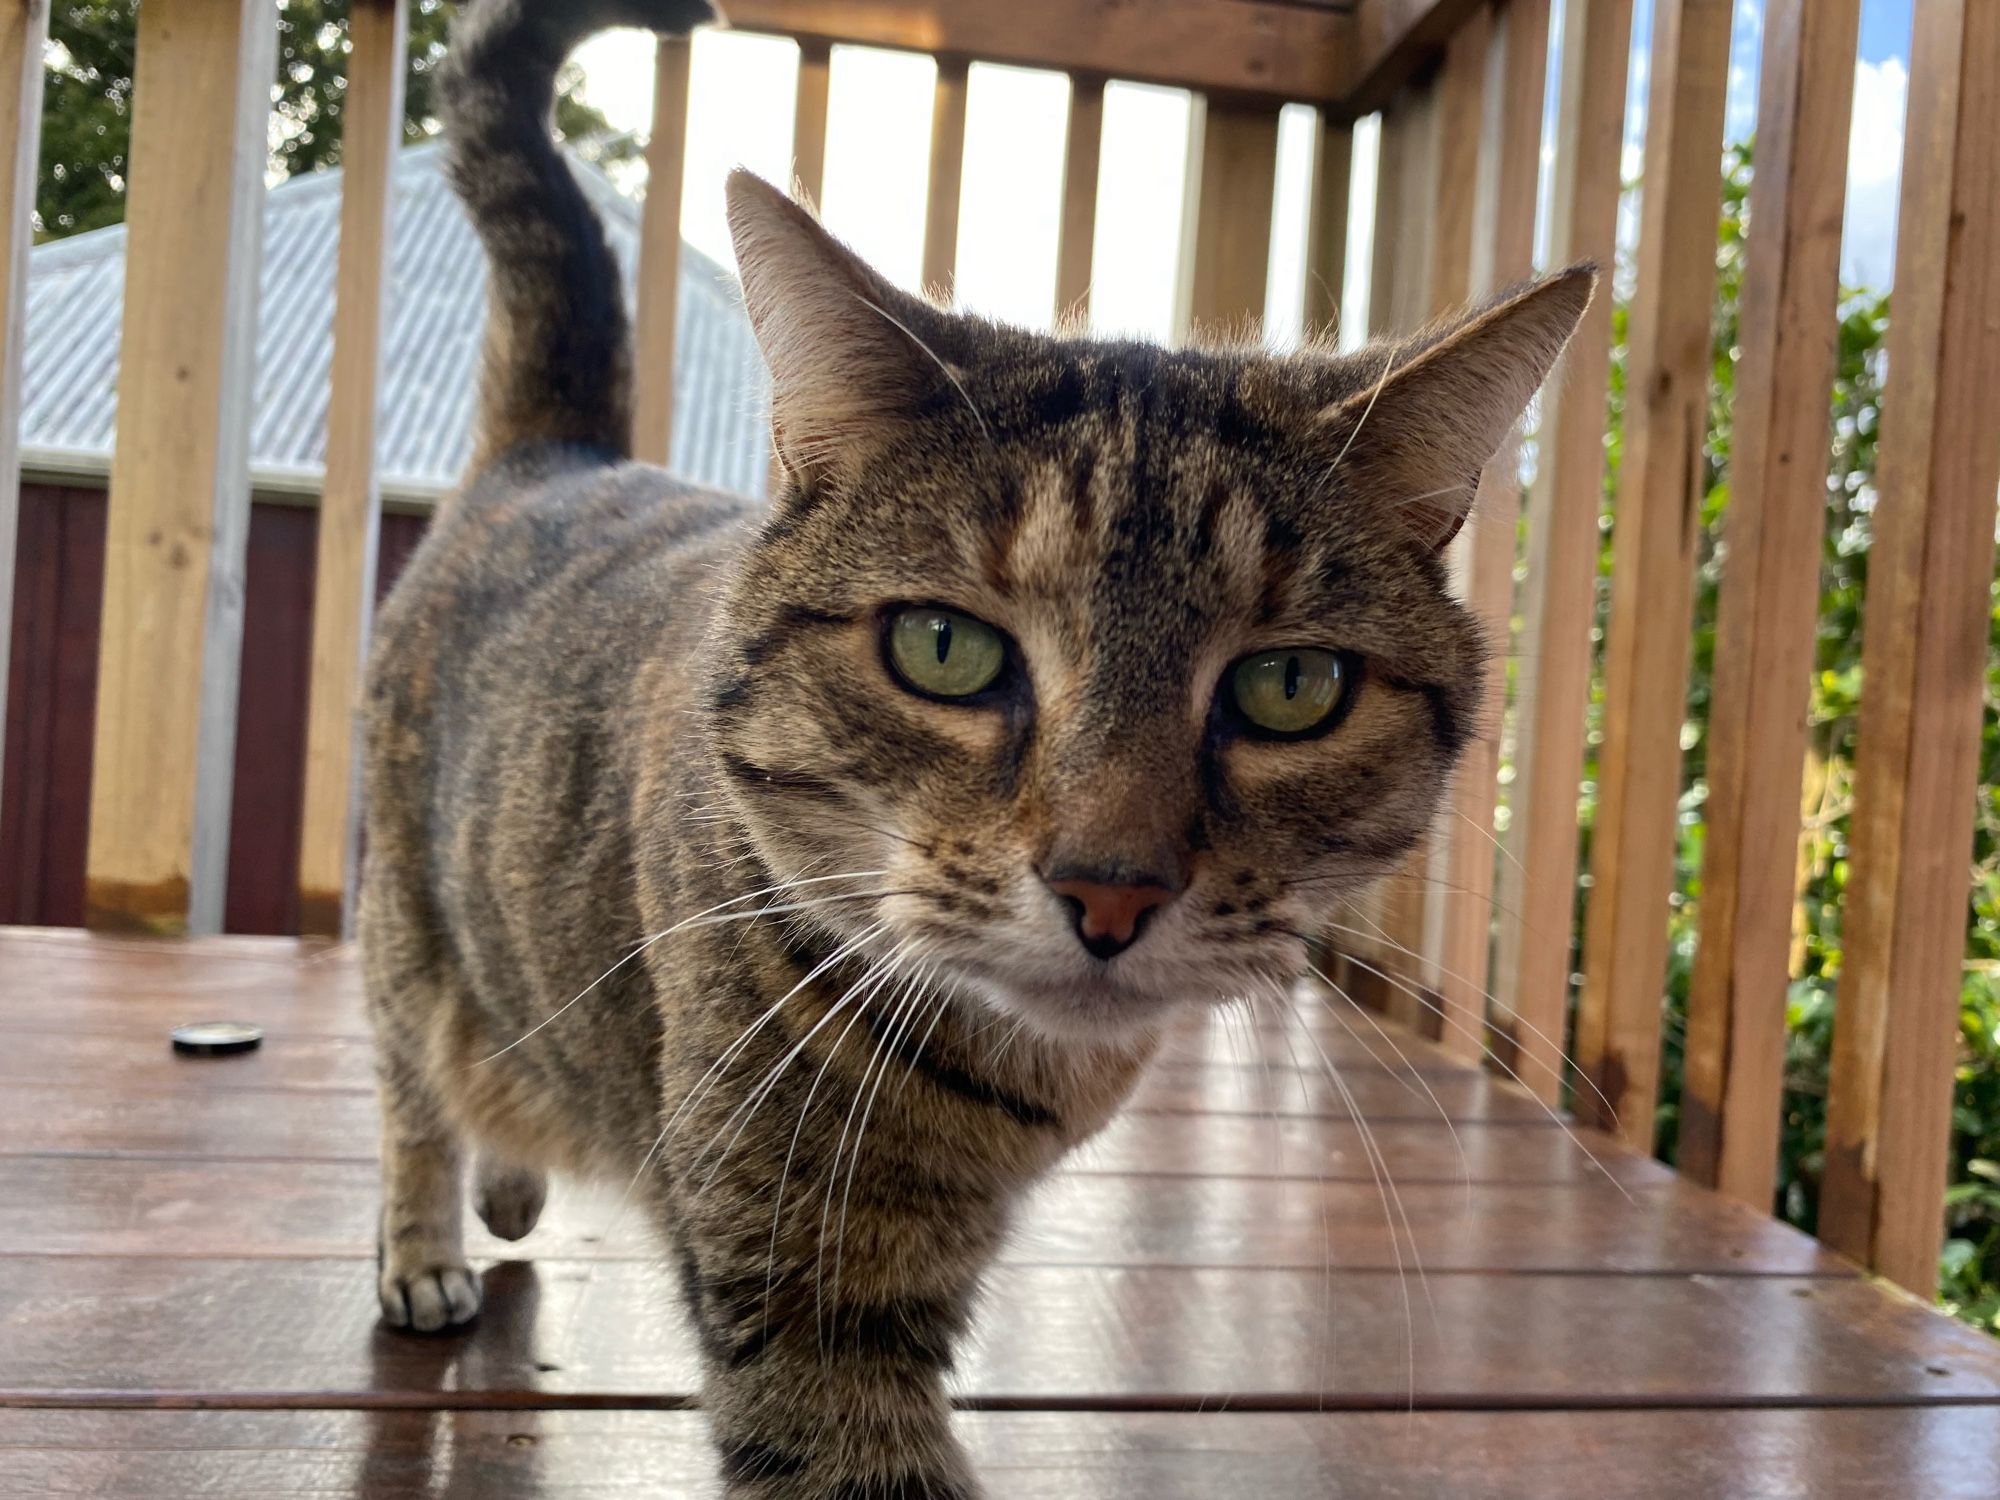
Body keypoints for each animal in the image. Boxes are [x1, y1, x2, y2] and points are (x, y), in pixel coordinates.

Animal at [364, 0, 1592, 1496]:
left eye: (1291, 685)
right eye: (943, 649)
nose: (1110, 889)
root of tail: (559, 457)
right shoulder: (807, 1281)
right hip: (404, 929)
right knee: (416, 1088)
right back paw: (426, 1242)